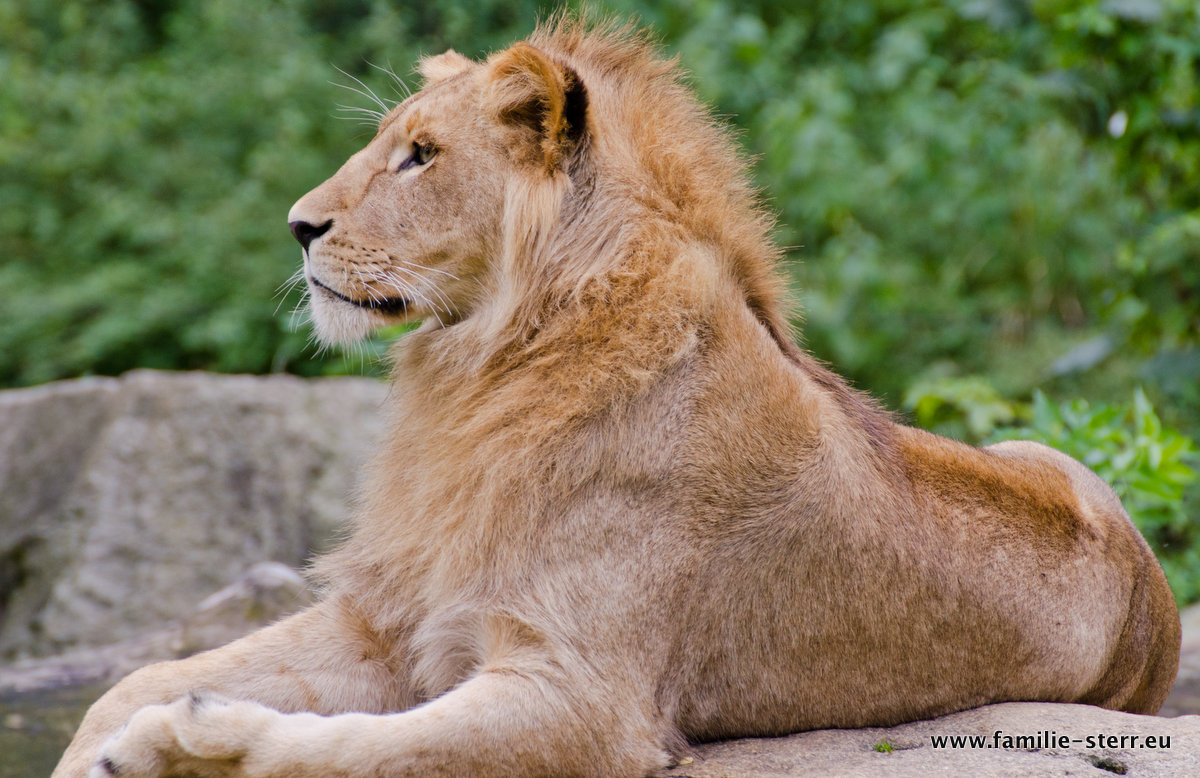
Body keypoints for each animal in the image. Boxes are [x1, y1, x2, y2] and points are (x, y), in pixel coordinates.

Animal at [58, 16, 1180, 778]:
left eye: (421, 156)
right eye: (389, 144)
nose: (298, 226)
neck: (478, 377)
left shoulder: (581, 697)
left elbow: (344, 750)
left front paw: (189, 748)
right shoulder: (389, 617)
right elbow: (134, 679)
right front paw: (109, 743)